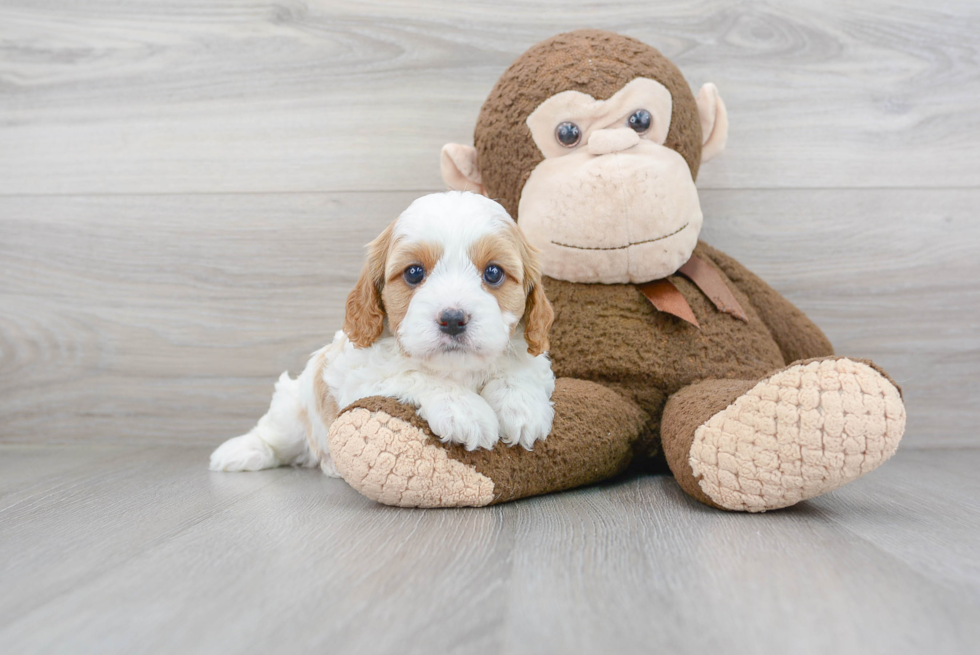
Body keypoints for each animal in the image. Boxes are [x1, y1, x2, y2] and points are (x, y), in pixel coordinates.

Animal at [210, 190, 556, 476]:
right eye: (414, 273)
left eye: (493, 273)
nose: (453, 319)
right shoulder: (359, 376)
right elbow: (412, 373)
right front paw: (464, 409)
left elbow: (519, 370)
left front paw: (522, 407)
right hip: (291, 406)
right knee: (274, 435)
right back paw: (238, 452)